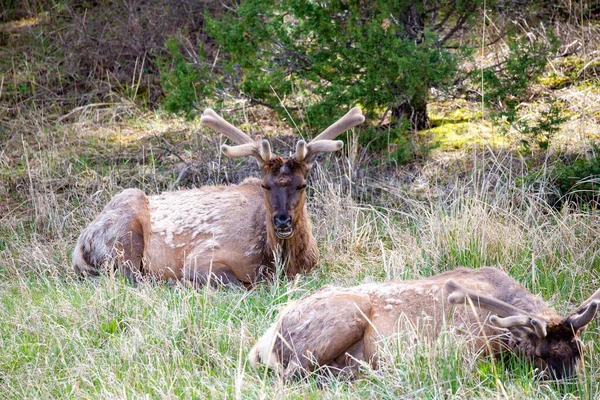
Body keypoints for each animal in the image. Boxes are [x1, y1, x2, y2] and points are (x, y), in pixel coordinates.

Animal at [74, 108, 366, 286]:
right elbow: (241, 285)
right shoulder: (202, 257)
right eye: (265, 185)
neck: (277, 263)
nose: (282, 221)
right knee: (134, 278)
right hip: (122, 236)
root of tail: (78, 247)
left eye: (303, 184)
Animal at [250, 268, 600, 380]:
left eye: (580, 352)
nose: (570, 385)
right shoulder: (460, 350)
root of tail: (262, 342)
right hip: (348, 313)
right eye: (540, 355)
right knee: (291, 376)